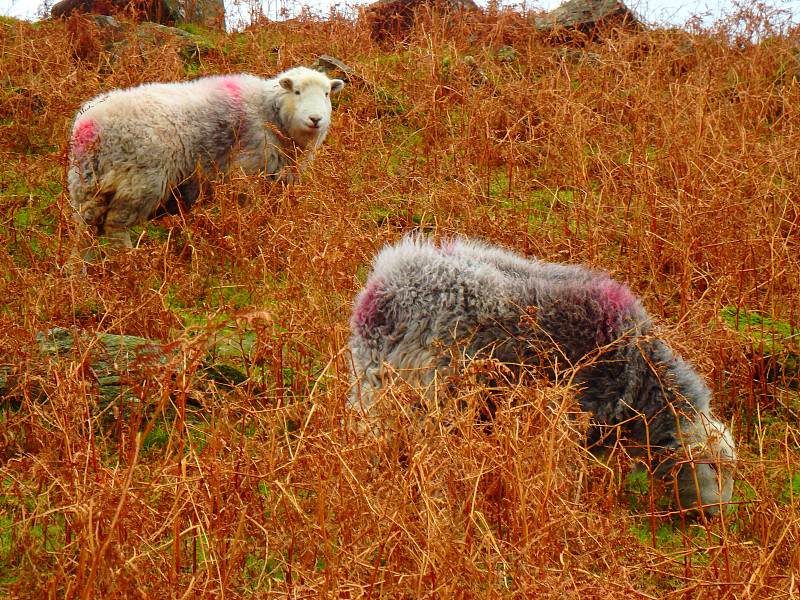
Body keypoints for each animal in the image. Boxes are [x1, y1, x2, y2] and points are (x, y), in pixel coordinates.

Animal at [66, 66, 344, 262]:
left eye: (327, 94)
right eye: (297, 92)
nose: (316, 119)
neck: (270, 112)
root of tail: (91, 126)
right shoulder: (247, 171)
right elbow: (250, 213)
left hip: (86, 183)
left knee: (84, 231)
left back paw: (78, 273)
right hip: (138, 181)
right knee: (115, 227)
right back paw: (129, 265)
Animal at [350, 237, 736, 516]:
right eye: (712, 467)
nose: (719, 515)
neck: (644, 387)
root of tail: (383, 290)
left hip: (374, 382)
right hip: (419, 393)